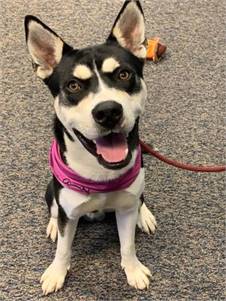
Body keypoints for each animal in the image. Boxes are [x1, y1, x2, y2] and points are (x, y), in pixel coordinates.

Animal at [24, 0, 155, 294]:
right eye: (73, 85)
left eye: (124, 74)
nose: (108, 112)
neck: (101, 173)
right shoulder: (68, 212)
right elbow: (63, 248)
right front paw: (57, 272)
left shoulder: (125, 207)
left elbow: (128, 245)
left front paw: (133, 269)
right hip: (51, 190)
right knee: (53, 209)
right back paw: (52, 224)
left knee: (140, 199)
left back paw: (144, 215)